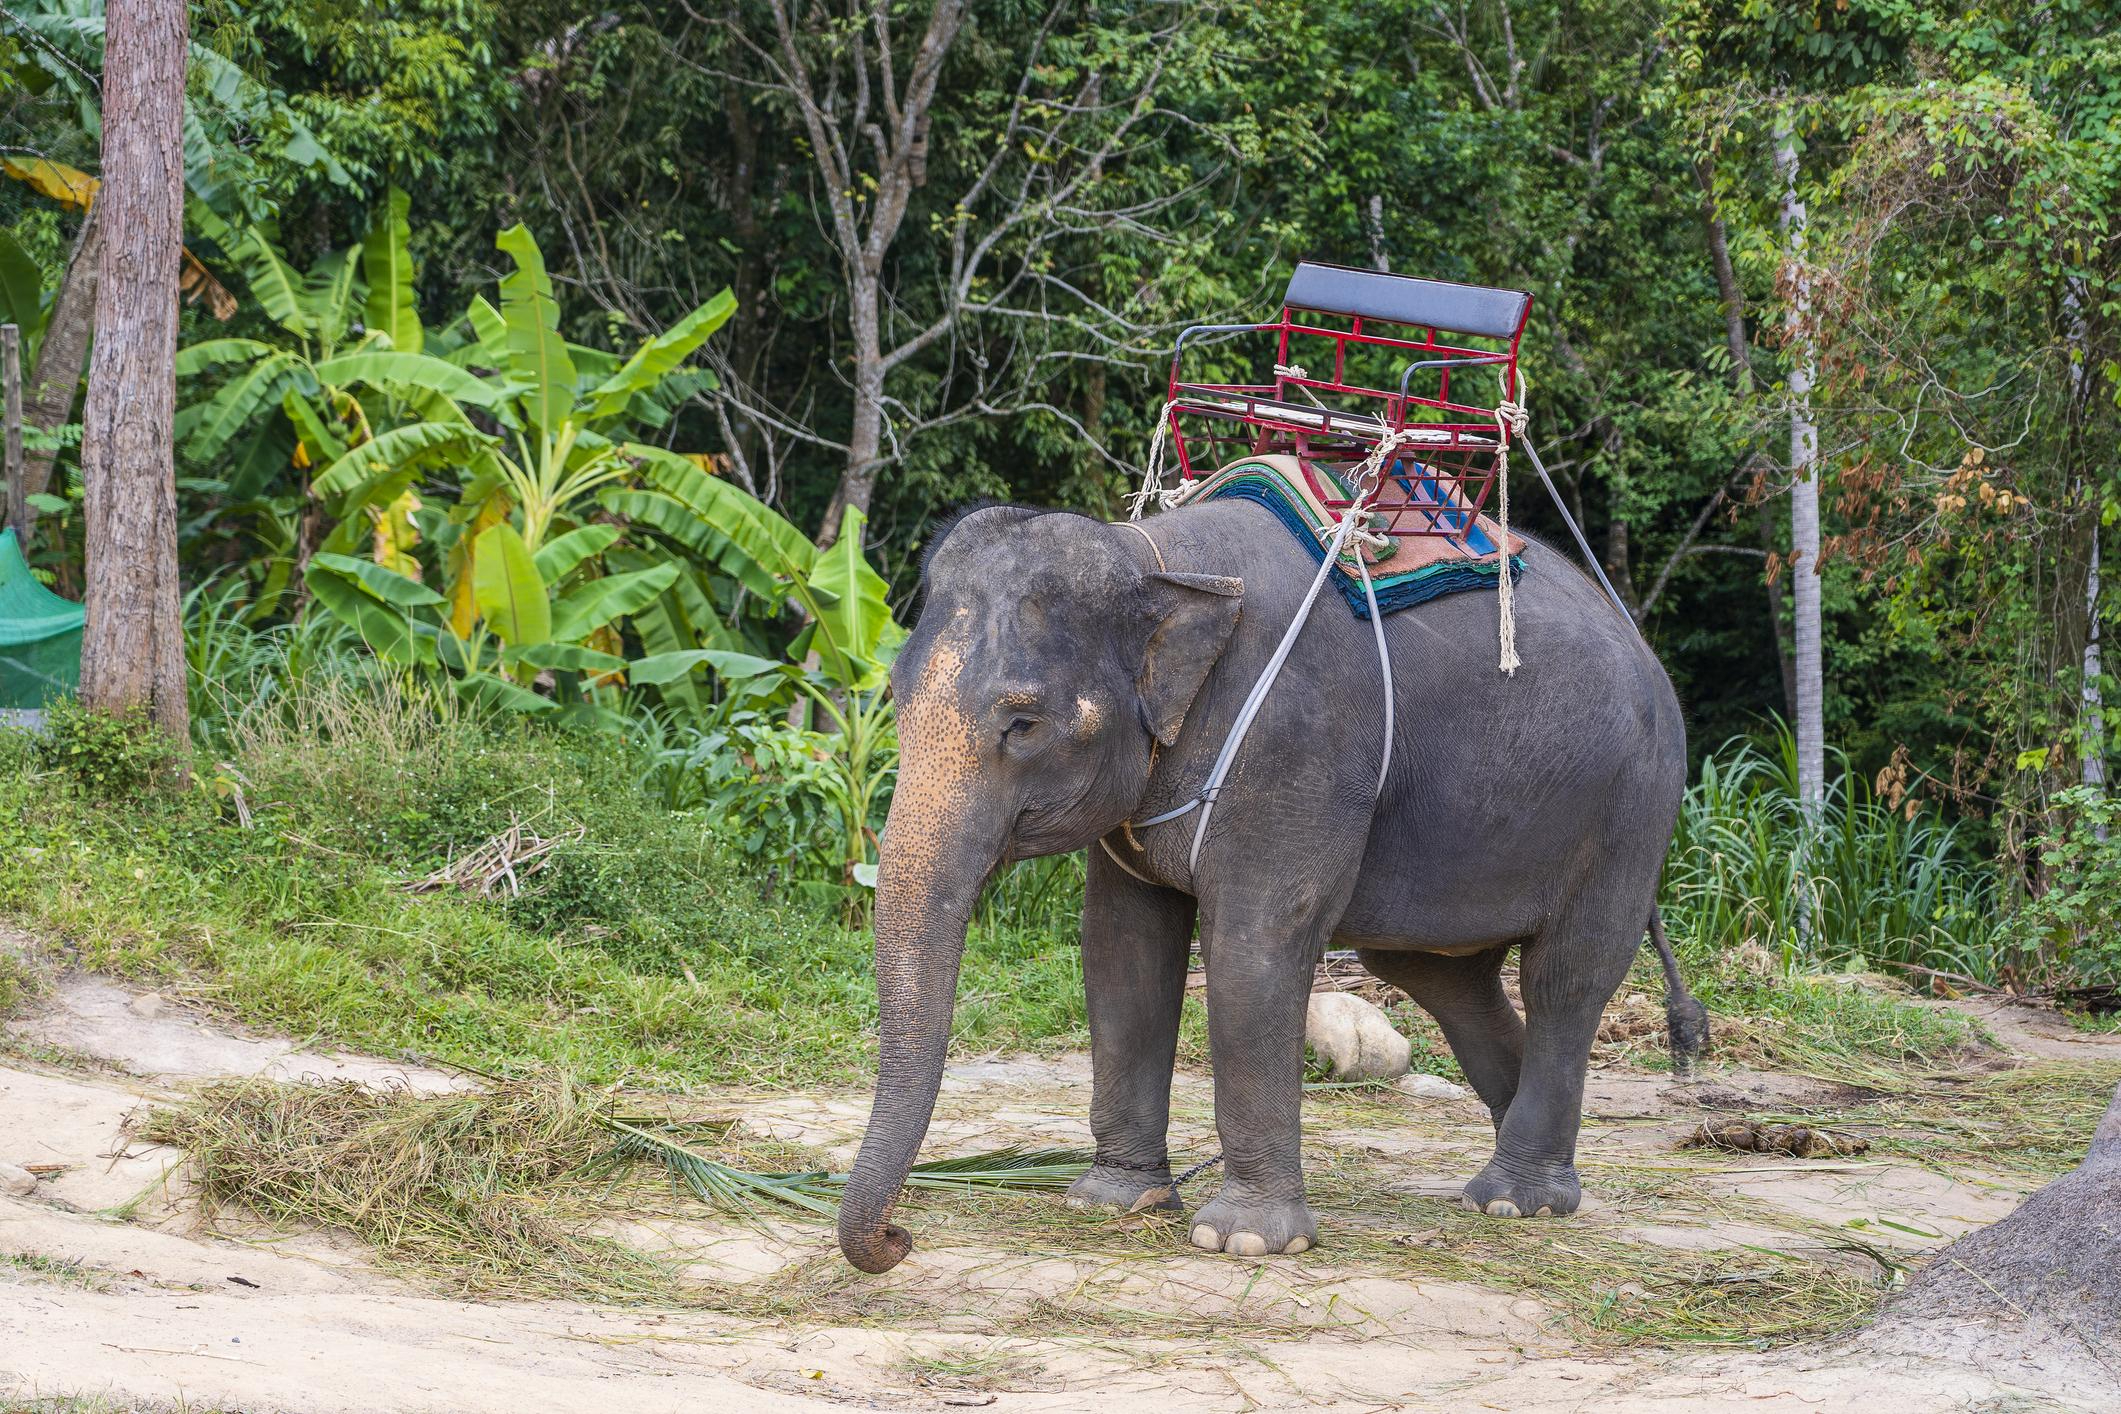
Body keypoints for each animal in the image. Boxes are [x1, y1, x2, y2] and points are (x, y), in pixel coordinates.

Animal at [836, 496, 1700, 1274]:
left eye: (1021, 723)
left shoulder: (1299, 747)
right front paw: (1112, 1201)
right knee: (1438, 975)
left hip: (1632, 807)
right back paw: (1521, 1172)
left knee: (1567, 975)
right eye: (894, 700)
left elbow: (1253, 951)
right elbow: (1120, 950)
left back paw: (1515, 1200)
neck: (1156, 556)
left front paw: (1243, 1241)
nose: (898, 1238)